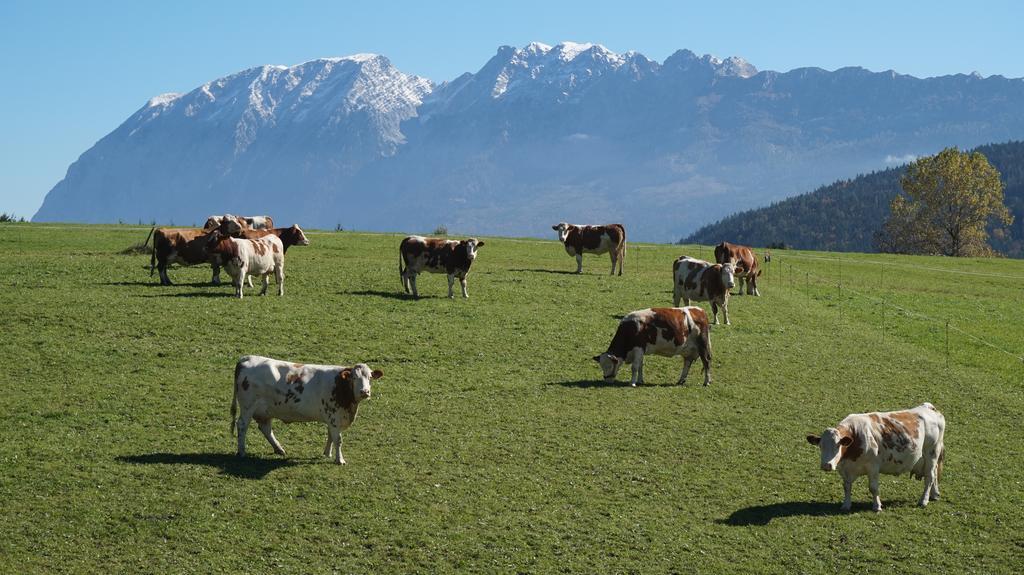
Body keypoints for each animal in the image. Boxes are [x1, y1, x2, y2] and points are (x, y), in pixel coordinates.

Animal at [232, 354, 385, 460]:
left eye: (370, 377)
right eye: (354, 378)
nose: (365, 391)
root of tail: (246, 358)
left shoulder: (332, 419)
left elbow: (330, 436)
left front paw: (327, 453)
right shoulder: (334, 417)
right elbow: (338, 439)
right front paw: (339, 459)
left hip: (265, 410)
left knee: (266, 429)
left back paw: (279, 449)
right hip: (248, 406)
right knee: (242, 425)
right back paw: (242, 451)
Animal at [806, 399, 942, 509]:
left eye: (838, 445)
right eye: (821, 446)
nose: (826, 465)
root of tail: (928, 407)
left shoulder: (873, 467)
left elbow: (873, 488)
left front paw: (877, 506)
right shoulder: (844, 468)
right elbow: (847, 486)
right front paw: (846, 505)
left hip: (931, 453)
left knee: (930, 476)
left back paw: (923, 501)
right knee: (935, 473)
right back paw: (934, 494)